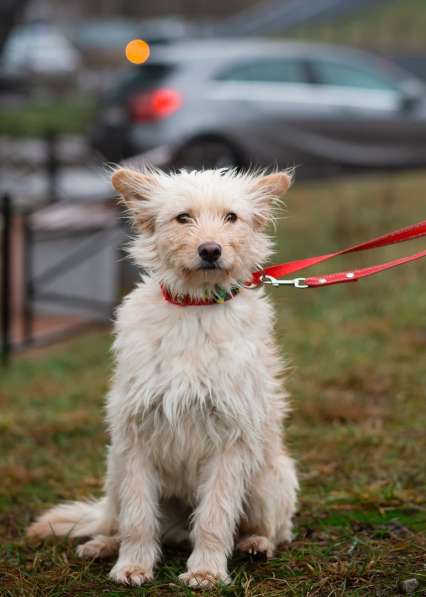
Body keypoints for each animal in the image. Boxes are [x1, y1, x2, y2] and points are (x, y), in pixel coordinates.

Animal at [28, 166, 298, 588]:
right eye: (183, 218)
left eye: (231, 217)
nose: (210, 250)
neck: (196, 308)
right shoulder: (137, 436)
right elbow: (138, 519)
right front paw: (131, 565)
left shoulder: (231, 440)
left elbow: (215, 516)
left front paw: (206, 571)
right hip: (115, 470)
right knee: (118, 519)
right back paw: (103, 543)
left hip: (269, 479)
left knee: (273, 529)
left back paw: (255, 544)